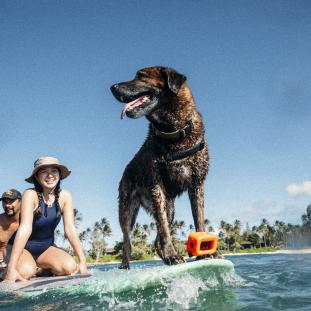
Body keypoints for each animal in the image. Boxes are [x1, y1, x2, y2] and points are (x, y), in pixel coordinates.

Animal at [110, 67, 210, 270]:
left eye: (141, 77)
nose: (112, 87)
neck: (174, 132)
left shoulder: (197, 184)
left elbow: (199, 220)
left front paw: (204, 253)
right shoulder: (157, 188)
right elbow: (164, 229)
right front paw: (172, 255)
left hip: (169, 207)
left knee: (157, 239)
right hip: (127, 210)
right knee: (127, 241)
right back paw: (125, 265)